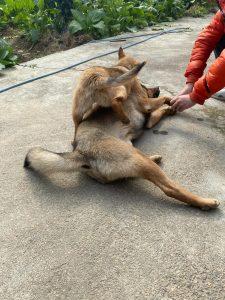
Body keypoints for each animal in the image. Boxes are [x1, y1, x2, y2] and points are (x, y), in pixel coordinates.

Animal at [24, 55, 220, 209]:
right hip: (134, 157)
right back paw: (205, 202)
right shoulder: (146, 107)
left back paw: (154, 157)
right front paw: (171, 102)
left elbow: (160, 111)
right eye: (144, 85)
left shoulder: (148, 120)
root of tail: (80, 152)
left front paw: (171, 107)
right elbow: (161, 103)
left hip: (129, 151)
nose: (157, 88)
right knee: (170, 188)